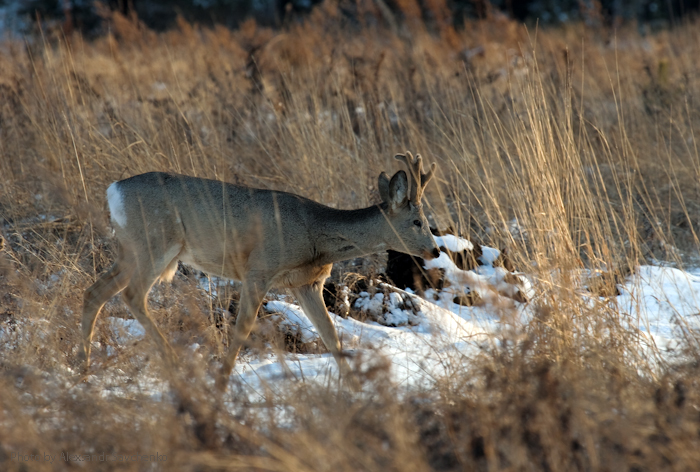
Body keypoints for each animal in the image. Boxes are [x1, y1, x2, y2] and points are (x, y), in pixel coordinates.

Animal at [82, 152, 438, 390]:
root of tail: (113, 190)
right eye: (417, 221)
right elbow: (242, 330)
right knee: (132, 295)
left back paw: (83, 366)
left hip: (130, 251)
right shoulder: (259, 269)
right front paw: (221, 383)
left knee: (95, 292)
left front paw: (356, 390)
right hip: (154, 242)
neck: (315, 235)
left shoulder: (306, 283)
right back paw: (174, 363)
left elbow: (331, 337)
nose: (435, 251)